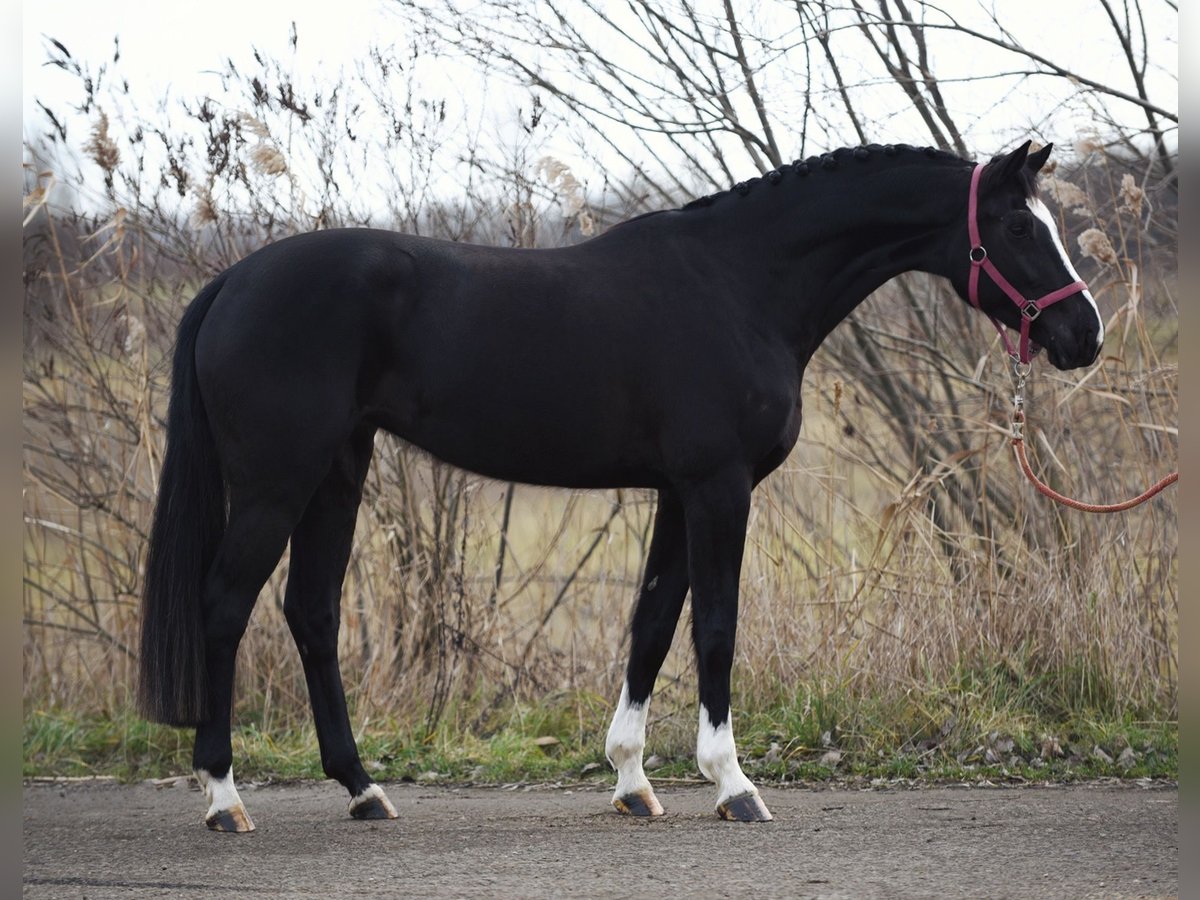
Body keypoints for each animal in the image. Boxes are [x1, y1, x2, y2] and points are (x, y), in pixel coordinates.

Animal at [136, 139, 1099, 830]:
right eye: (1020, 229)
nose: (1084, 335)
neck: (740, 284)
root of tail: (230, 284)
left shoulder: (678, 491)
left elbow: (652, 622)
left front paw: (634, 781)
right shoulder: (719, 487)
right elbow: (713, 629)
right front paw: (734, 786)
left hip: (338, 471)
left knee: (312, 611)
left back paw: (364, 791)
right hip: (278, 482)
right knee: (224, 607)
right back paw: (225, 800)